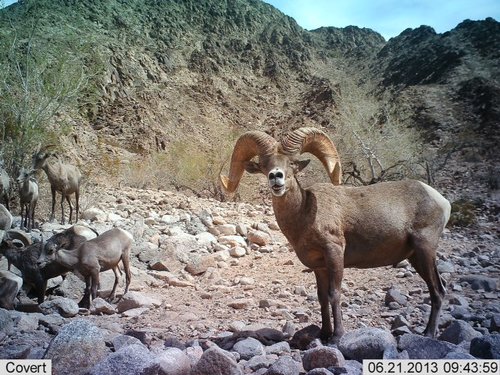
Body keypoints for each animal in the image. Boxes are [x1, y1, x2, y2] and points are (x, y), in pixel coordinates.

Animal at [221, 128, 452, 342]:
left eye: (292, 163)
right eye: (263, 165)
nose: (276, 177)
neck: (305, 213)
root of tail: (441, 201)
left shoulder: (334, 254)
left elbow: (334, 294)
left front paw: (337, 336)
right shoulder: (319, 267)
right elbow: (322, 298)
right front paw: (324, 334)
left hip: (425, 250)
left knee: (437, 291)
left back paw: (429, 333)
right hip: (415, 257)